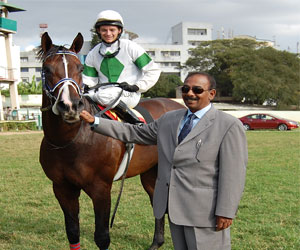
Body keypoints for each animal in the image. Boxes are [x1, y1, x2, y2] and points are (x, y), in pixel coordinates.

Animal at [39, 32, 185, 250]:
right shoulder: (62, 188)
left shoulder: (101, 188)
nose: (70, 105)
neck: (70, 141)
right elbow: (73, 232)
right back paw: (156, 243)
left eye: (79, 68)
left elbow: (102, 237)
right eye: (47, 69)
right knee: (156, 200)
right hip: (151, 172)